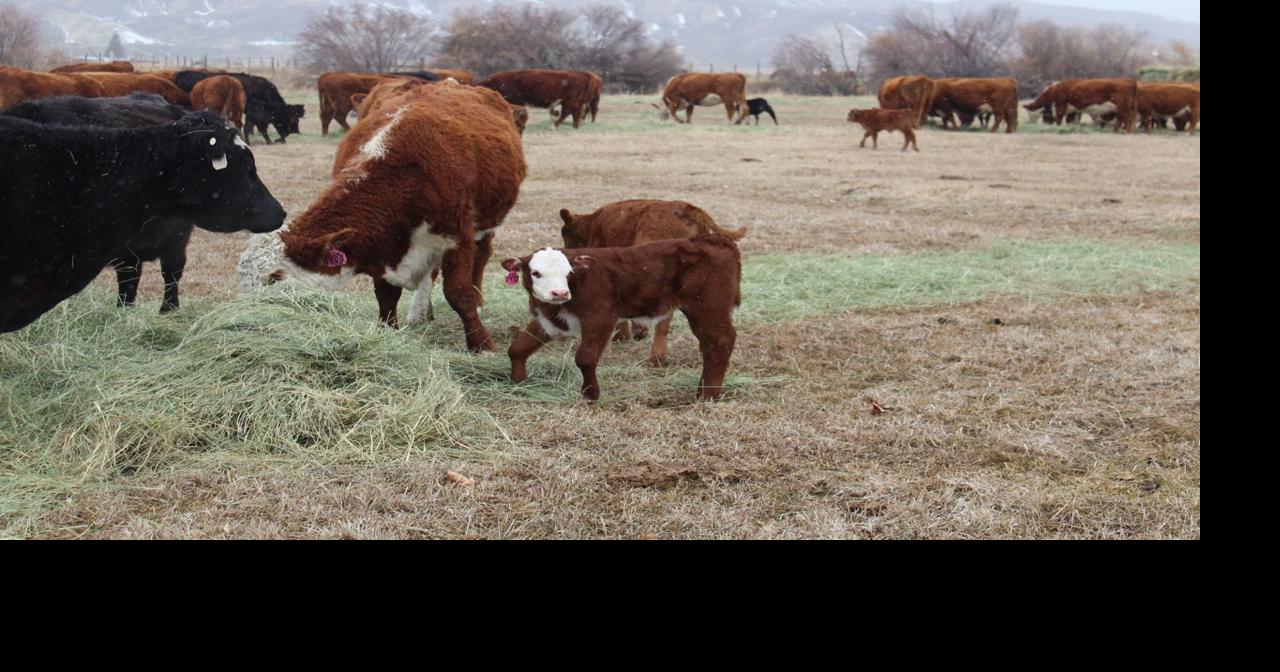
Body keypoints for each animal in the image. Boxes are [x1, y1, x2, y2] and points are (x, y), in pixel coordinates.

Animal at [250, 82, 526, 352]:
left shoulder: (457, 236)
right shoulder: (383, 247)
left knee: (481, 257)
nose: (251, 311)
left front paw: (481, 343)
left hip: (486, 225)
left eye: (274, 277)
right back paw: (419, 313)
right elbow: (386, 295)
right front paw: (388, 332)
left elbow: (458, 292)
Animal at [503, 234, 741, 401]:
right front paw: (518, 381)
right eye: (536, 273)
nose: (559, 293)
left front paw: (590, 394)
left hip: (708, 307)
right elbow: (518, 348)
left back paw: (707, 395)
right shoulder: (547, 321)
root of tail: (712, 240)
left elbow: (585, 358)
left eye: (568, 273)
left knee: (720, 341)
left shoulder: (600, 318)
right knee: (709, 345)